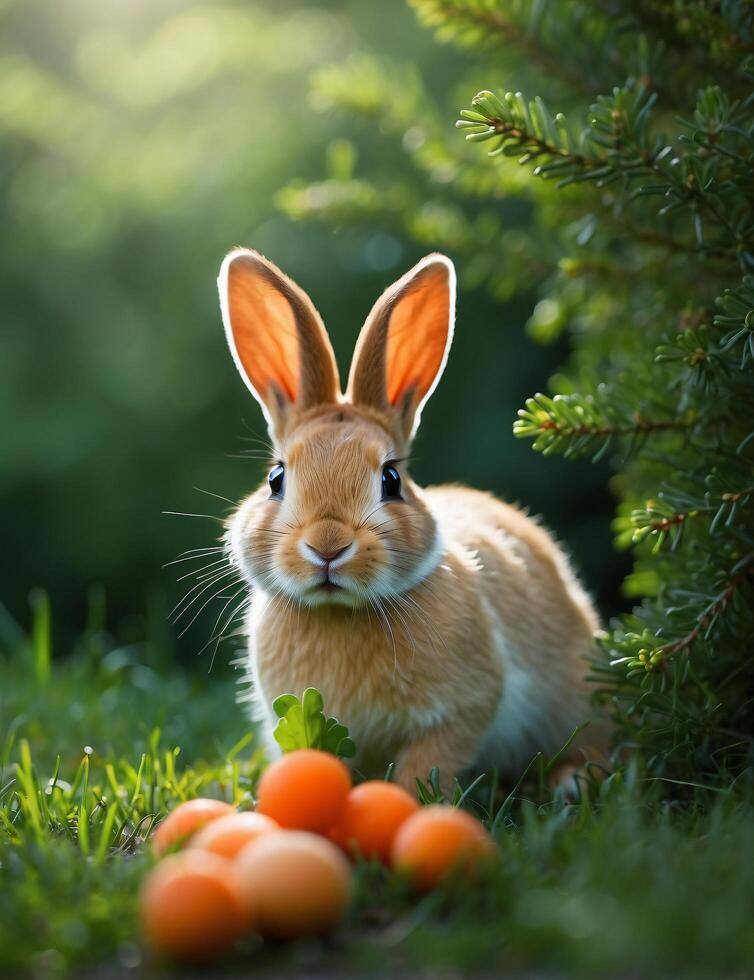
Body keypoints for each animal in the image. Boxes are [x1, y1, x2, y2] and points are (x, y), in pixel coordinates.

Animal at [214, 249, 604, 792]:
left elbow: (425, 770)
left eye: (391, 479)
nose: (328, 546)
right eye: (276, 478)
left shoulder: (458, 715)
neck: (342, 613)